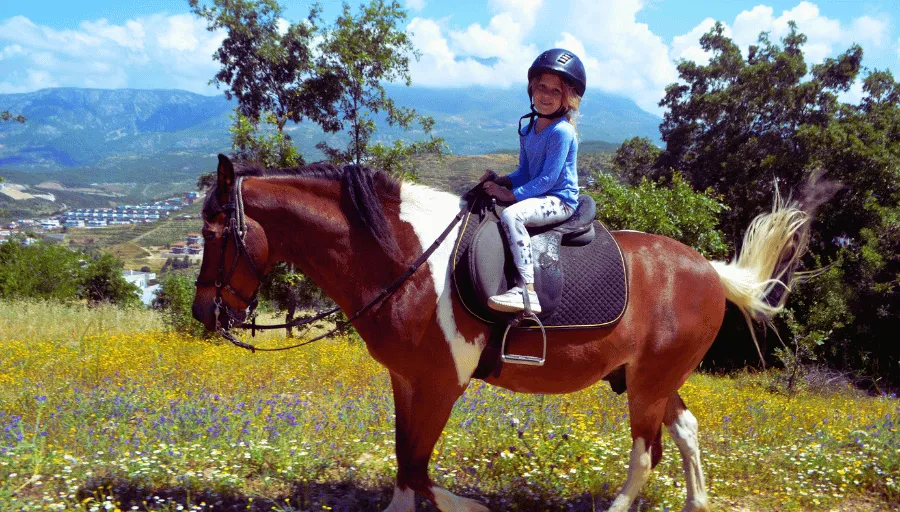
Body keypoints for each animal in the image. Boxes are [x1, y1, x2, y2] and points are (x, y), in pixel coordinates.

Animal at [192, 154, 821, 512]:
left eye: (214, 232)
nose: (203, 312)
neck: (408, 258)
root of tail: (710, 272)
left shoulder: (443, 384)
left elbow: (419, 468)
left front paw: (471, 506)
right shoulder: (406, 381)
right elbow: (404, 464)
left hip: (647, 384)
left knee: (645, 456)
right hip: (649, 378)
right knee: (685, 430)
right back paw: (696, 503)